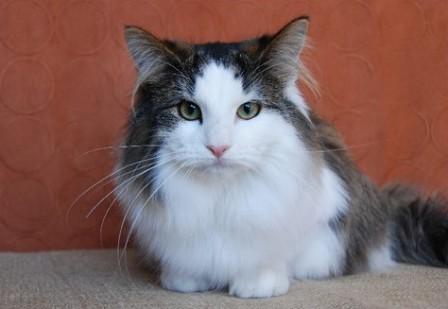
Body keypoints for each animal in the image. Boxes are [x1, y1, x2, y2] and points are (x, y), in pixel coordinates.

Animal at [116, 16, 448, 296]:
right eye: (188, 110)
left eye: (248, 110)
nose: (218, 147)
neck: (222, 199)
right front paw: (186, 280)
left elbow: (280, 256)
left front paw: (257, 285)